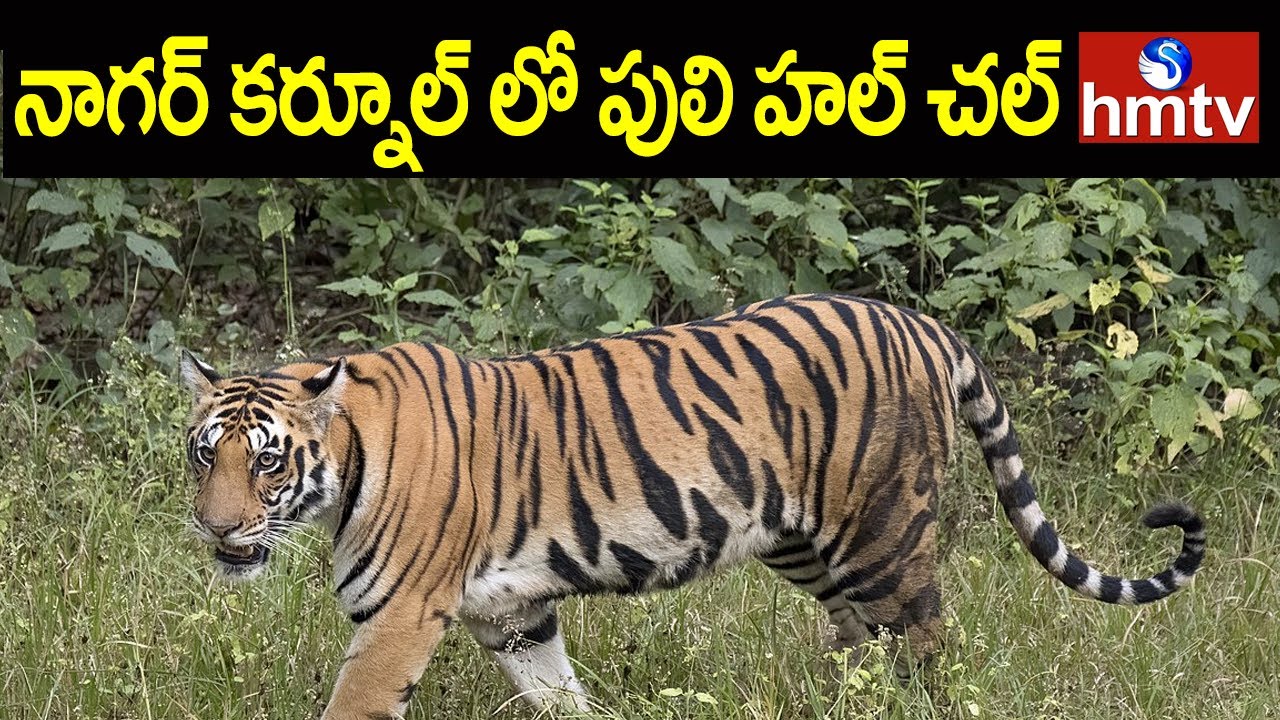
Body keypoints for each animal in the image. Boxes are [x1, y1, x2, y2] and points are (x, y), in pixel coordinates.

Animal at [179, 292, 1205, 720]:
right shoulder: (514, 615)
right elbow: (559, 696)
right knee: (860, 643)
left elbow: (353, 704)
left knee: (925, 646)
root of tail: (921, 322)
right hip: (804, 542)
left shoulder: (398, 618)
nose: (218, 528)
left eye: (267, 463)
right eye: (203, 455)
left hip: (882, 533)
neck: (345, 467)